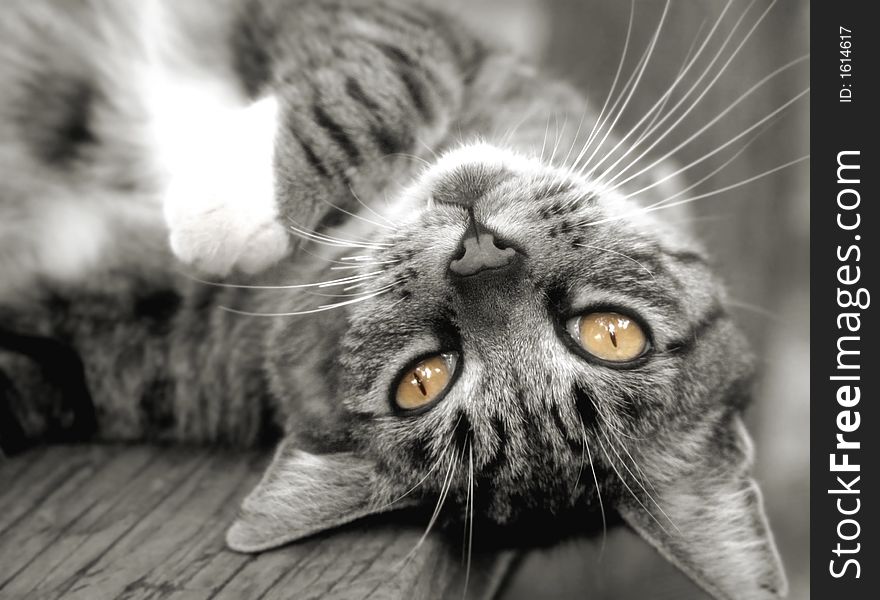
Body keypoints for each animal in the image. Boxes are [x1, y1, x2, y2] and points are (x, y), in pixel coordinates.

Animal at [0, 1, 788, 600]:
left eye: (422, 380)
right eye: (613, 334)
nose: (479, 251)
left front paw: (220, 213)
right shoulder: (428, 35)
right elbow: (389, 72)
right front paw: (239, 197)